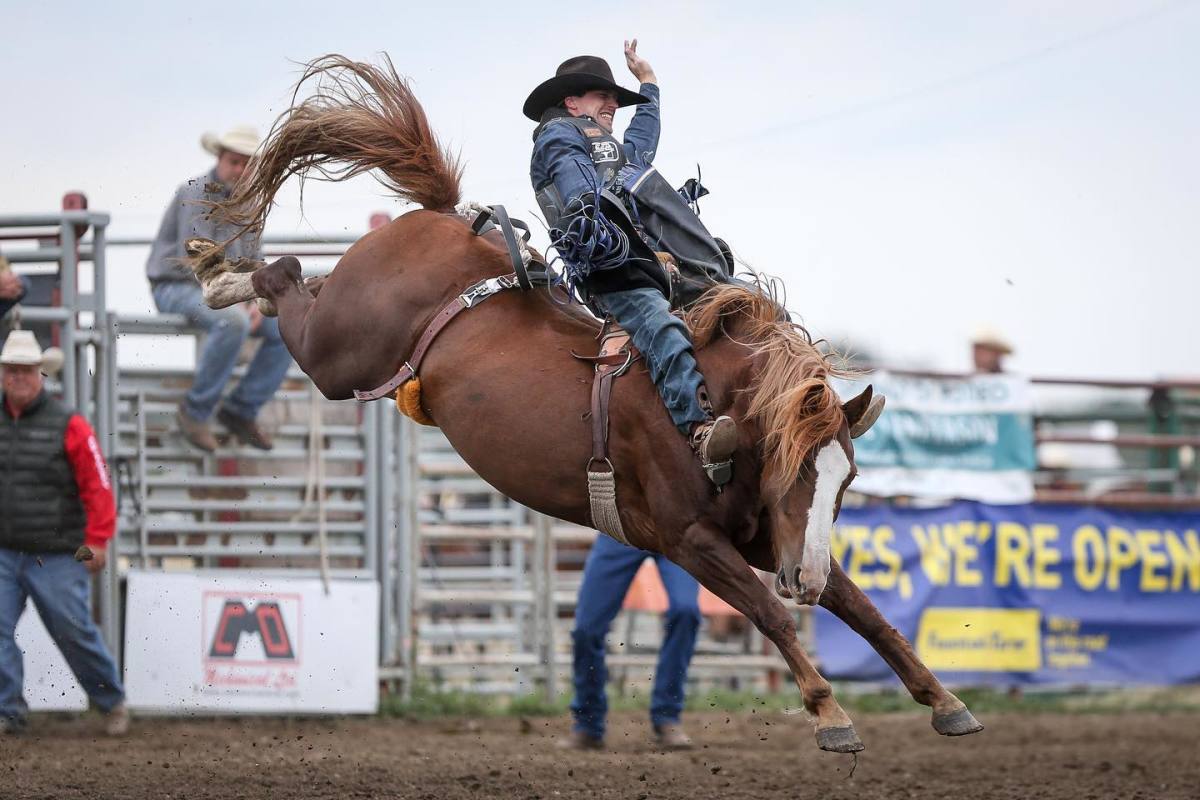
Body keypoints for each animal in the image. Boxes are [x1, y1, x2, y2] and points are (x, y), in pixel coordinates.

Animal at [192, 53, 984, 753]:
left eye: (847, 483)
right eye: (793, 473)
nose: (807, 580)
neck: (713, 407)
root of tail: (437, 217)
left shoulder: (767, 538)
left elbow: (871, 615)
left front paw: (946, 702)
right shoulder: (690, 541)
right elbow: (772, 617)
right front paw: (829, 715)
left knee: (304, 278)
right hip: (338, 353)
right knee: (287, 278)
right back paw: (222, 277)